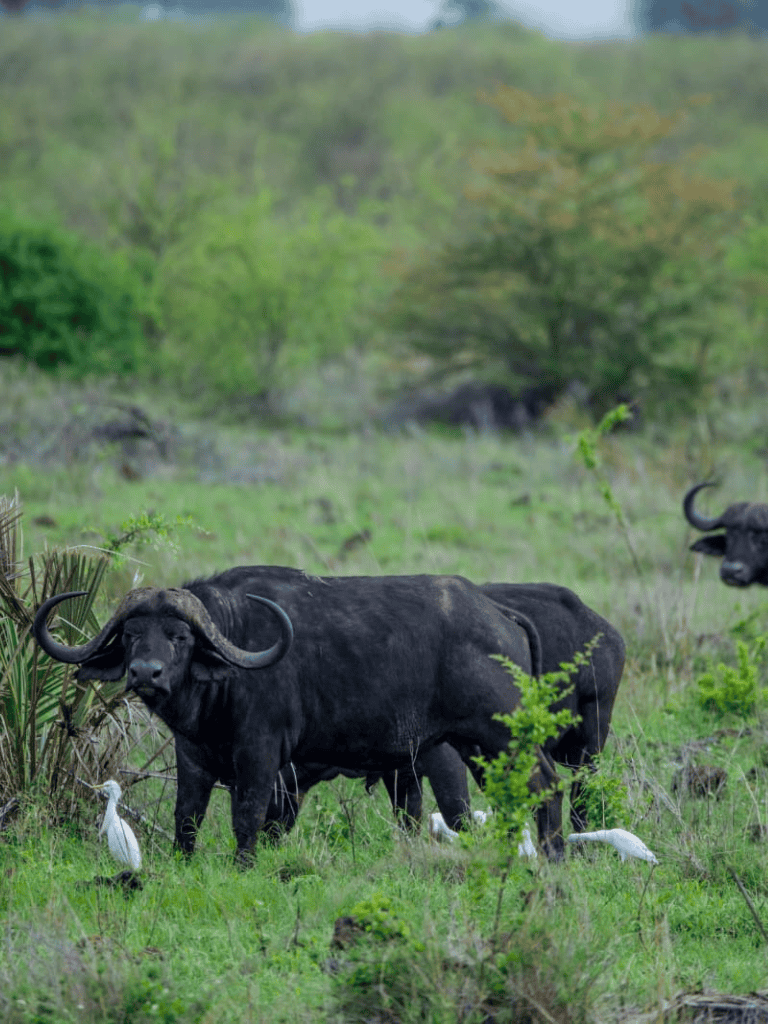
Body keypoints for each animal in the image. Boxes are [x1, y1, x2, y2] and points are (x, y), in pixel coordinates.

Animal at [34, 567, 567, 861]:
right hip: (474, 745)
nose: (146, 673)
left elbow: (248, 815)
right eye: (130, 635)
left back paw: (555, 856)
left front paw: (243, 867)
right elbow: (187, 816)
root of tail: (497, 613)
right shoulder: (193, 755)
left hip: (501, 733)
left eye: (179, 636)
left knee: (544, 782)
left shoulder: (260, 753)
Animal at [266, 582, 625, 837]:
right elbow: (408, 818)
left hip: (589, 740)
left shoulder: (443, 760)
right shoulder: (401, 771)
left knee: (582, 798)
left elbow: (457, 816)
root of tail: (603, 629)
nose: (266, 834)